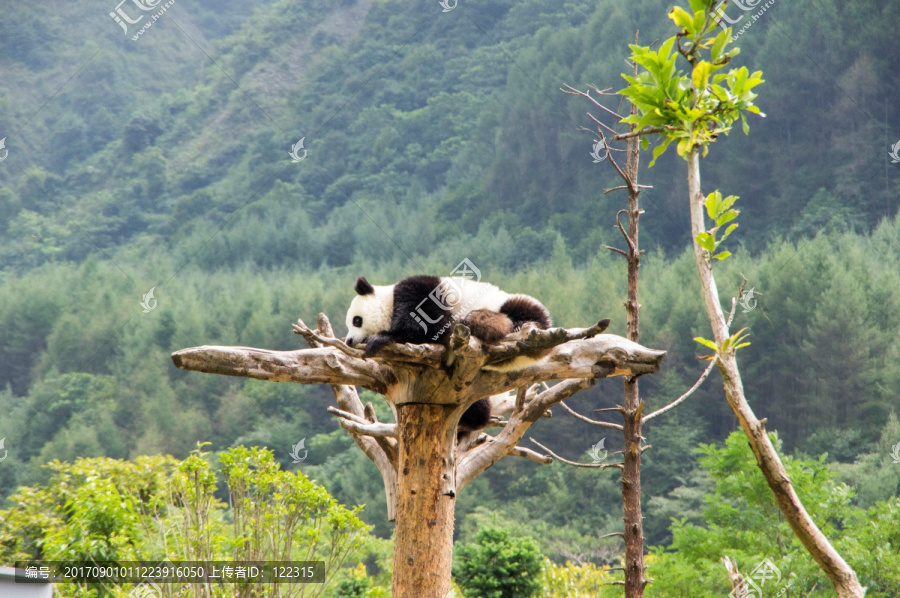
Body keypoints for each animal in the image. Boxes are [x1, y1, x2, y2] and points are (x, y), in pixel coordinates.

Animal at [344, 274, 552, 434]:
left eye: (356, 320)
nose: (348, 341)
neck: (388, 304)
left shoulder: (419, 290)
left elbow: (426, 322)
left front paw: (383, 337)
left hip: (506, 304)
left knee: (523, 310)